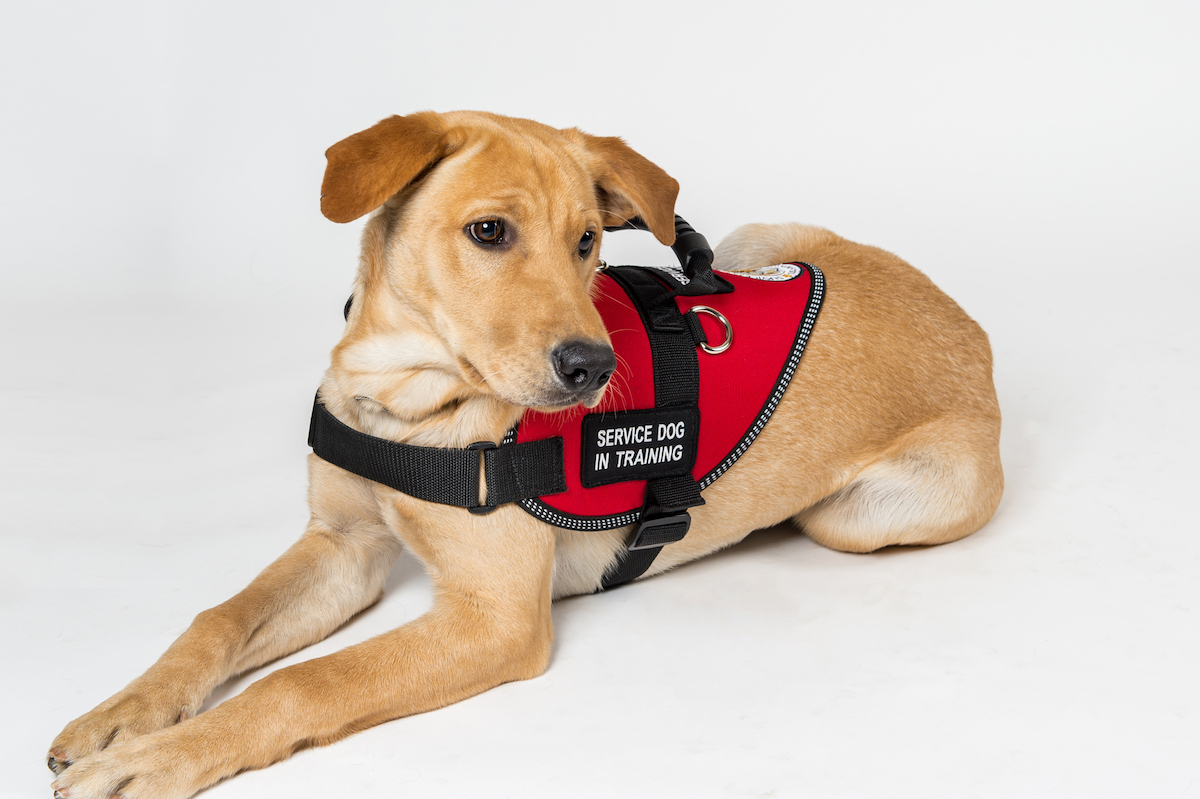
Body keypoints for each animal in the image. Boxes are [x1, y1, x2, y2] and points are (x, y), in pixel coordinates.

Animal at [46, 112, 1003, 796]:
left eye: (588, 241)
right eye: (489, 232)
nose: (593, 368)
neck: (410, 404)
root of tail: (974, 329)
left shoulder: (493, 618)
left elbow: (305, 683)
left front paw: (158, 758)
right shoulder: (344, 545)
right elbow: (219, 617)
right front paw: (126, 715)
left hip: (857, 515)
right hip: (758, 241)